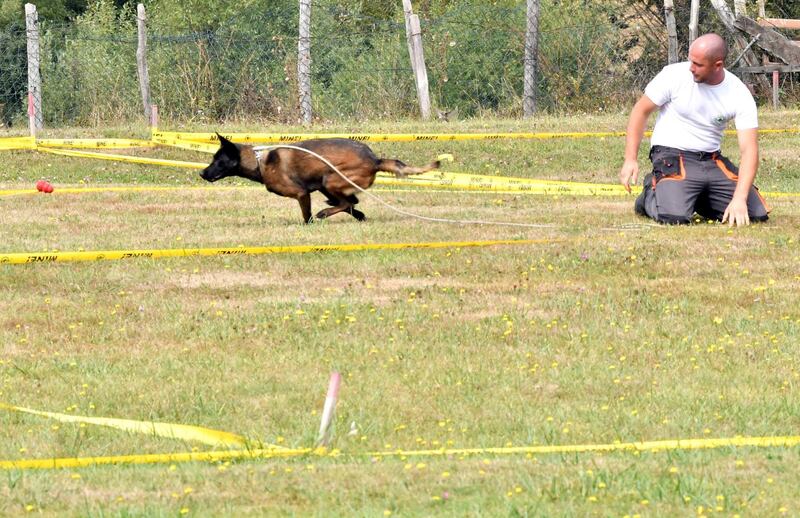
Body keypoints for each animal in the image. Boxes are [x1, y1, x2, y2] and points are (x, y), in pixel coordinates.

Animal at [198, 134, 440, 223]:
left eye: (218, 160)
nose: (201, 173)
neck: (259, 161)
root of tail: (375, 159)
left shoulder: (301, 193)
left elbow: (307, 216)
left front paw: (311, 223)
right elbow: (353, 206)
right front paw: (361, 216)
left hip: (329, 179)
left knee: (345, 201)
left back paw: (325, 212)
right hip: (328, 183)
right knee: (349, 202)